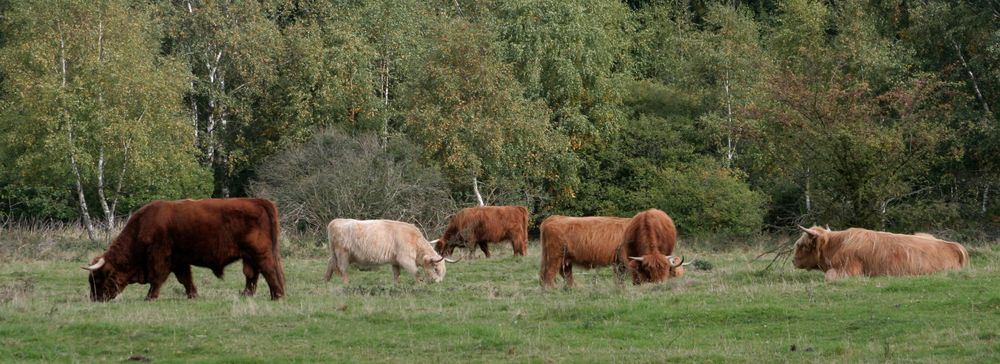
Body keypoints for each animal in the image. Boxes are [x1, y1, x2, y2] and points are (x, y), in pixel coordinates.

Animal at [81, 199, 286, 302]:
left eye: (97, 278)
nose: (94, 298)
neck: (142, 226)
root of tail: (259, 201)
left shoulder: (159, 258)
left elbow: (157, 279)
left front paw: (150, 297)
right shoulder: (179, 261)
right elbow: (185, 279)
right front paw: (193, 295)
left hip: (260, 254)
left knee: (268, 271)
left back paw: (277, 296)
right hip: (249, 256)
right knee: (252, 275)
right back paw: (246, 295)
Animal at [324, 219, 460, 284]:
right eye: (436, 269)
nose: (439, 282)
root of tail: (334, 221)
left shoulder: (395, 261)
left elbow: (396, 275)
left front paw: (396, 285)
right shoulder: (405, 259)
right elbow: (416, 272)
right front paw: (421, 284)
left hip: (336, 255)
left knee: (330, 263)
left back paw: (326, 282)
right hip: (342, 254)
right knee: (343, 269)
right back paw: (346, 285)